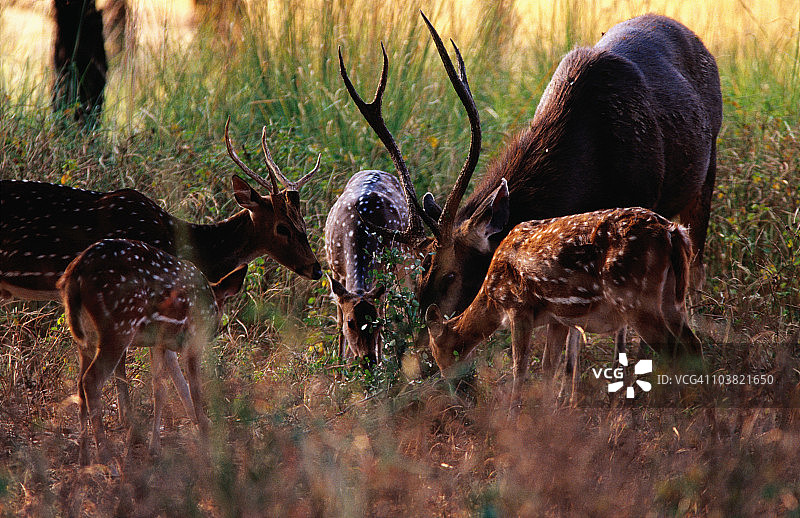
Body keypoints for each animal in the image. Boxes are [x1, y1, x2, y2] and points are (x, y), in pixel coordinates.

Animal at [1, 120, 321, 426]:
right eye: (282, 227)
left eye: (303, 222)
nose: (317, 268)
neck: (178, 239)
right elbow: (141, 369)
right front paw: (133, 425)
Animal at [57, 239, 247, 467]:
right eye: (222, 307)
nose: (213, 332)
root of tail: (73, 274)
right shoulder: (193, 339)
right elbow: (196, 390)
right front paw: (206, 438)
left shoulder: (159, 343)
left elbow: (160, 390)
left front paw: (154, 449)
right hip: (119, 327)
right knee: (91, 380)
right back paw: (106, 459)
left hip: (84, 339)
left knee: (79, 384)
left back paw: (84, 458)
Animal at [324, 170, 409, 364]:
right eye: (350, 323)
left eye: (376, 323)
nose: (368, 360)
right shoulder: (335, 269)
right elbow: (338, 323)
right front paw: (339, 368)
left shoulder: (385, 270)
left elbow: (383, 311)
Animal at [424, 207, 702, 409]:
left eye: (438, 352)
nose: (455, 391)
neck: (492, 296)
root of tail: (673, 232)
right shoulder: (557, 318)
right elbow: (549, 366)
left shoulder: (518, 306)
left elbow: (520, 367)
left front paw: (514, 415)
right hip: (672, 300)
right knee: (693, 344)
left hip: (637, 299)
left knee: (673, 349)